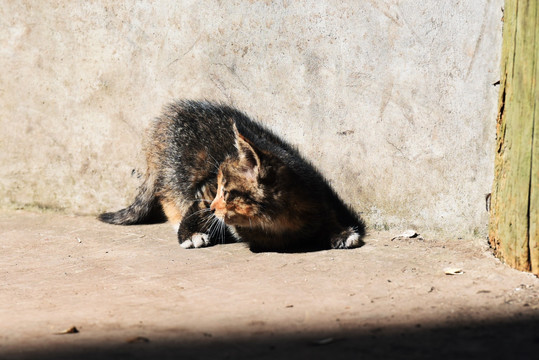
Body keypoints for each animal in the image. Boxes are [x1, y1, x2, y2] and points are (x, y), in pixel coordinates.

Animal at [99, 100, 364, 252]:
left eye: (226, 194)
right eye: (219, 190)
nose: (215, 207)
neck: (273, 225)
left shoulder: (316, 194)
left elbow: (328, 216)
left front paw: (341, 233)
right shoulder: (205, 188)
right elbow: (198, 206)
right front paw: (189, 233)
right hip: (172, 170)